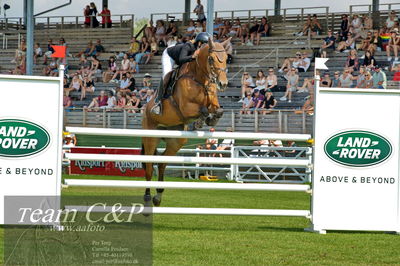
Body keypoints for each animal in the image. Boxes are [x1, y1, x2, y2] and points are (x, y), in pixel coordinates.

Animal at [141, 38, 230, 208]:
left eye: (227, 58)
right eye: (211, 59)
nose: (223, 84)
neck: (200, 78)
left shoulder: (213, 102)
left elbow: (218, 110)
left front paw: (211, 119)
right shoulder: (185, 108)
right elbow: (202, 109)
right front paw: (200, 122)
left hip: (177, 140)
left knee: (162, 163)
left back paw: (158, 196)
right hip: (151, 137)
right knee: (149, 166)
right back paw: (148, 197)